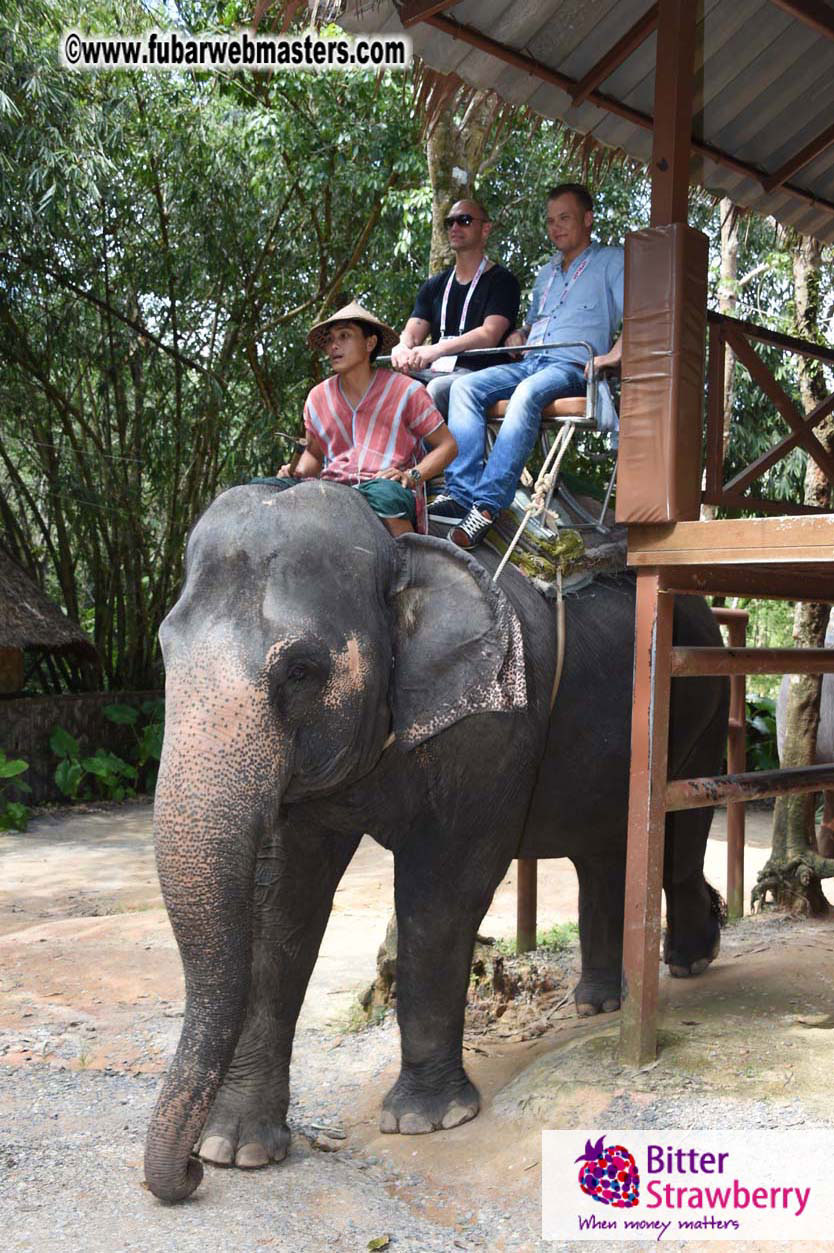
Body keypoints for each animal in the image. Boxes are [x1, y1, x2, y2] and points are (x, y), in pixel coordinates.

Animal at [144, 480, 729, 1203]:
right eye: (164, 651)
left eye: (301, 670)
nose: (188, 1174)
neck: (396, 548)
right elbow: (281, 906)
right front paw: (238, 1150)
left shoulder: (492, 723)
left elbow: (441, 894)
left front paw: (427, 1120)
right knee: (602, 850)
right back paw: (596, 1002)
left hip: (700, 692)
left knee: (678, 833)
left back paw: (690, 960)